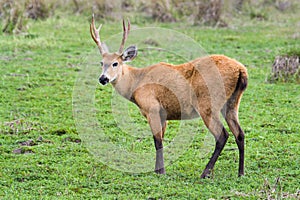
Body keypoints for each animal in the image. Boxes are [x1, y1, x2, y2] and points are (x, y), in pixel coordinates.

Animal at [89, 15, 248, 178]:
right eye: (102, 63)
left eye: (115, 63)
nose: (103, 79)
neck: (136, 84)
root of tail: (241, 70)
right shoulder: (163, 114)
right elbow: (161, 140)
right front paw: (158, 169)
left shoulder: (152, 108)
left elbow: (157, 141)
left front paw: (161, 172)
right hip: (232, 103)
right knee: (240, 134)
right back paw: (240, 172)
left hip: (207, 105)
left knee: (222, 135)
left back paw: (205, 173)